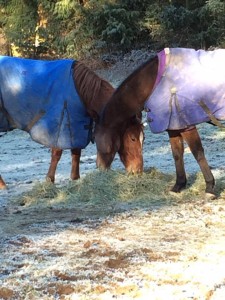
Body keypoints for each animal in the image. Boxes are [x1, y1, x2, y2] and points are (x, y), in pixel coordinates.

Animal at [0, 59, 144, 189]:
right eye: (132, 138)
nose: (138, 171)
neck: (80, 90)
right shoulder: (61, 124)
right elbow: (57, 153)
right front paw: (50, 180)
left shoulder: (76, 124)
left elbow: (76, 152)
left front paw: (75, 178)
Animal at [93, 48, 225, 197]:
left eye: (133, 138)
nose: (100, 167)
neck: (157, 82)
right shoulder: (173, 127)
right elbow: (177, 154)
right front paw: (178, 185)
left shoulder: (187, 126)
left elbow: (197, 153)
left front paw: (209, 187)